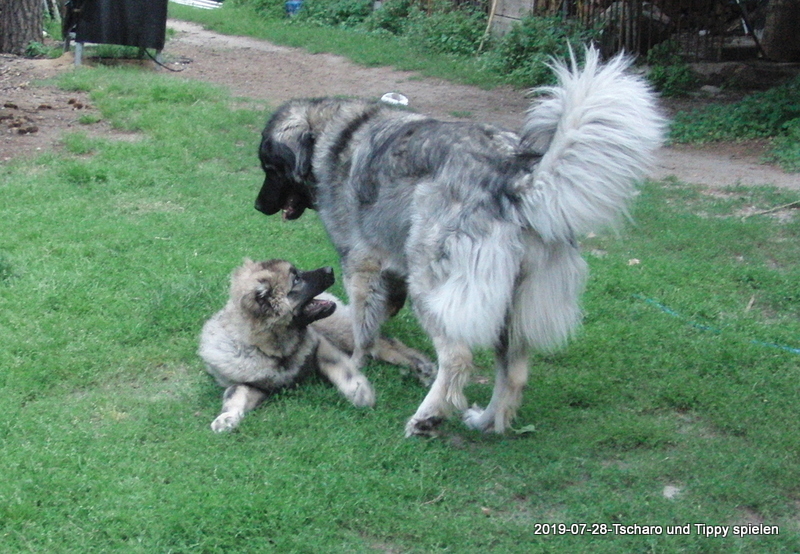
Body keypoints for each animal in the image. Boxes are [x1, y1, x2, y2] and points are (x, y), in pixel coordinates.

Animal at [198, 258, 434, 432]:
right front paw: (226, 417)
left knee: (384, 345)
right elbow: (233, 394)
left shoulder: (321, 344)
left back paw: (423, 367)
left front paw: (359, 391)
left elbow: (340, 368)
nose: (330, 268)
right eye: (296, 279)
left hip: (342, 331)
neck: (277, 351)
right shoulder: (253, 384)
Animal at [254, 48, 665, 436]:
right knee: (513, 372)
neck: (328, 138)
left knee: (457, 357)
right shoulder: (389, 268)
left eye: (270, 168)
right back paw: (485, 422)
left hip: (432, 283)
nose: (258, 206)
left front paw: (356, 368)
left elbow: (363, 328)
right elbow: (380, 316)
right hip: (507, 302)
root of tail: (516, 177)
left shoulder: (360, 266)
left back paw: (428, 418)